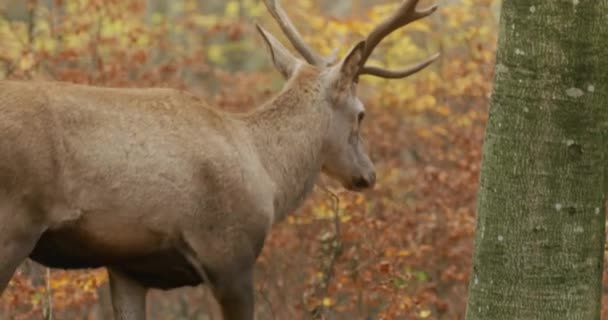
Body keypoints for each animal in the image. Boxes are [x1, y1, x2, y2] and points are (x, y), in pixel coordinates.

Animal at [0, 0, 436, 318]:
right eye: (361, 113)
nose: (369, 174)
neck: (268, 174)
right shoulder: (230, 253)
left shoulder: (129, 266)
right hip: (13, 223)